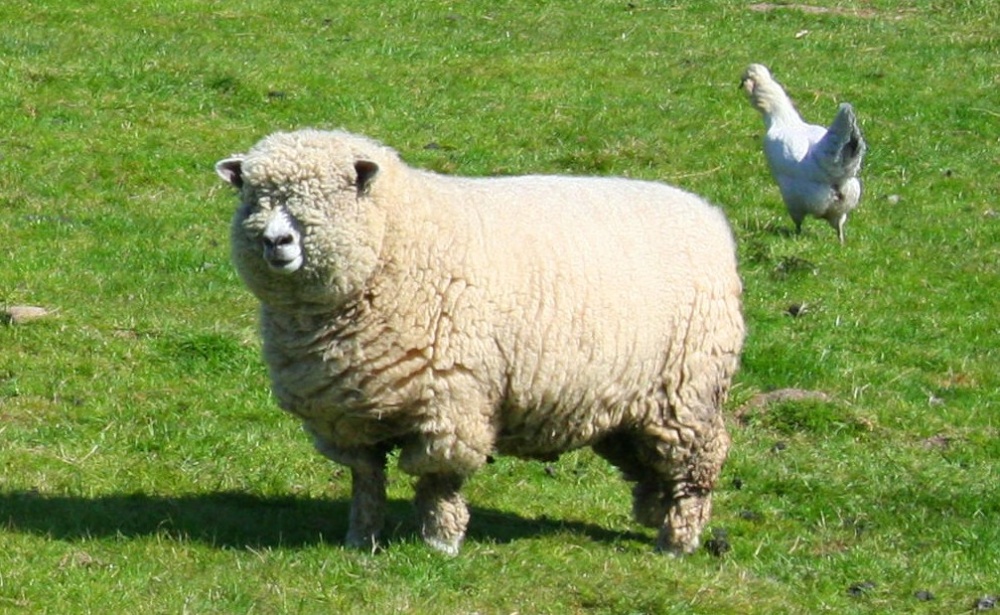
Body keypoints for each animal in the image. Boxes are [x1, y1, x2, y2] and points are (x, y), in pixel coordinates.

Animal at [215, 129, 744, 556]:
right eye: (253, 196)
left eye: (327, 194)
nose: (276, 241)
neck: (395, 245)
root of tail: (709, 215)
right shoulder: (350, 412)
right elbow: (366, 480)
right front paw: (361, 539)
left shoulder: (452, 398)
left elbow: (439, 478)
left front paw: (441, 542)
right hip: (630, 403)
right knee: (653, 464)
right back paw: (656, 514)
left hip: (688, 387)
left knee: (700, 462)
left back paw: (678, 540)